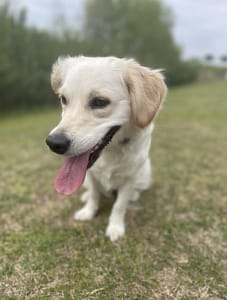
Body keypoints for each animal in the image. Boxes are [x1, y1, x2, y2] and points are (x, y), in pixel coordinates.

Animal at [46, 56, 167, 243]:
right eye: (64, 99)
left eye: (99, 102)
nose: (54, 143)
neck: (111, 152)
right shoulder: (90, 174)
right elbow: (94, 194)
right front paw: (88, 211)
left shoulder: (130, 178)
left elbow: (119, 205)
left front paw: (115, 227)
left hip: (145, 174)